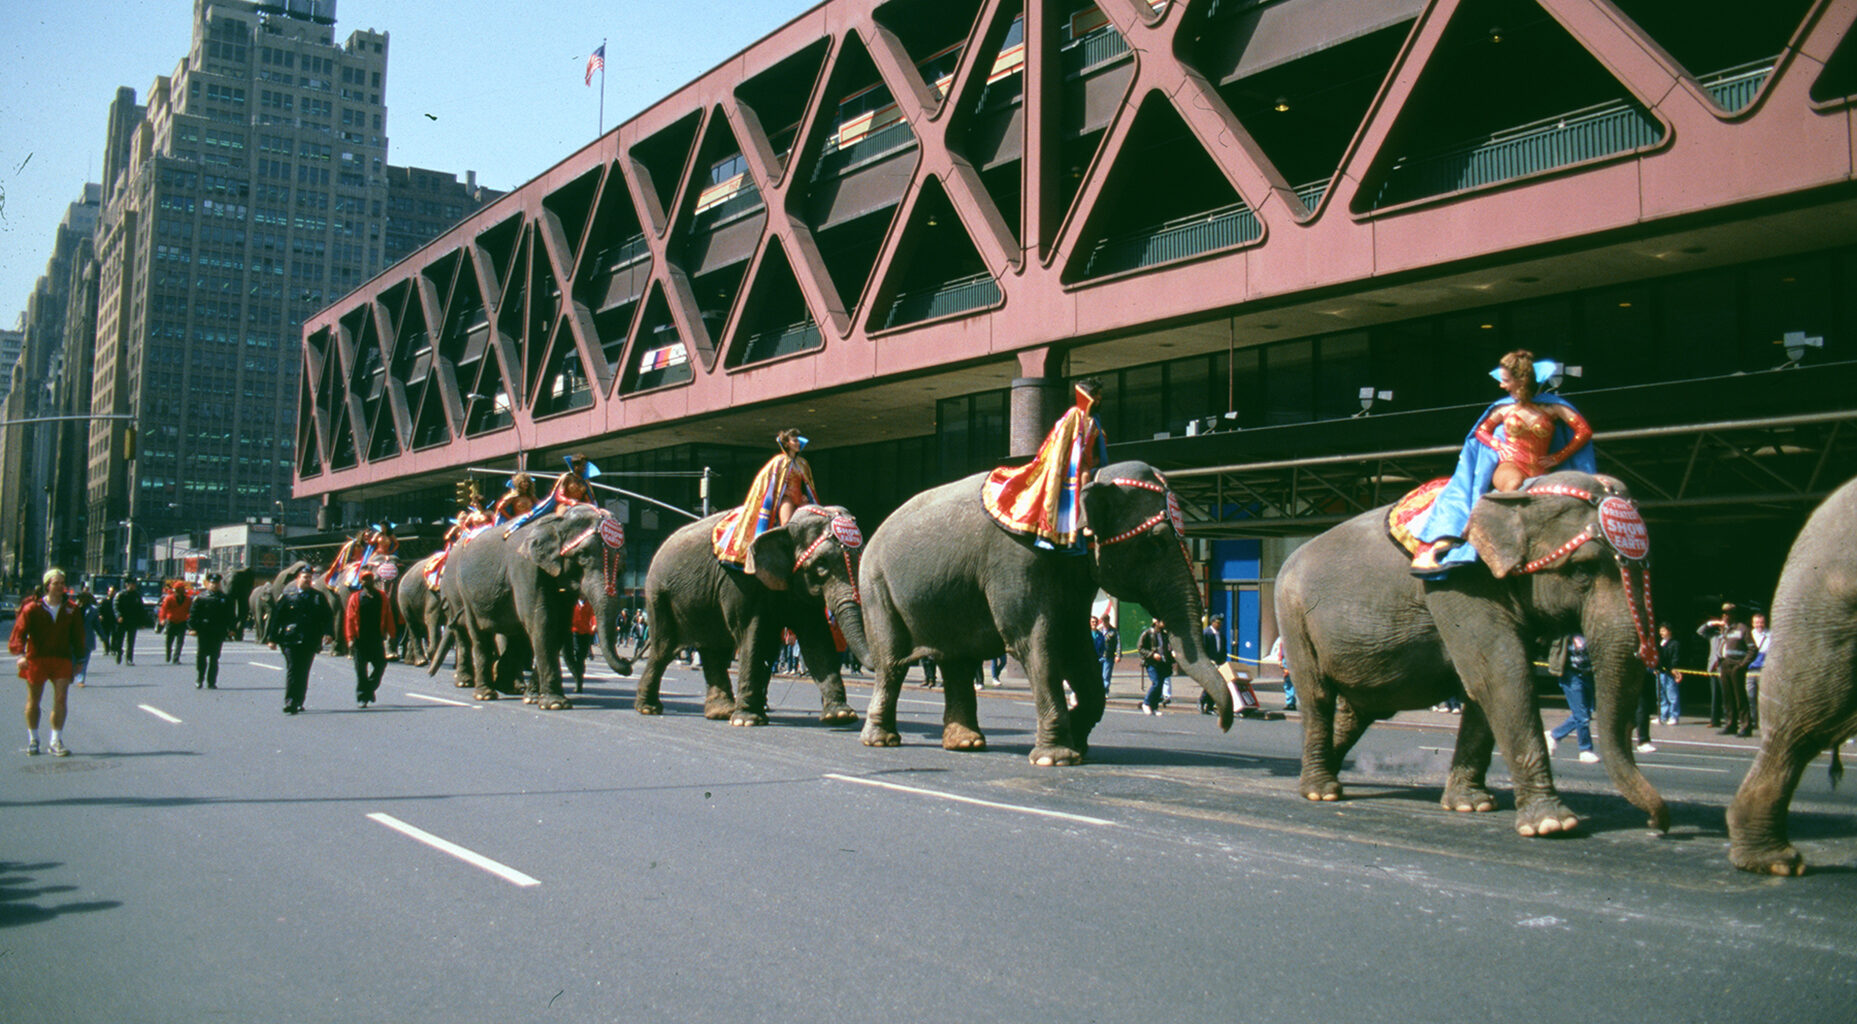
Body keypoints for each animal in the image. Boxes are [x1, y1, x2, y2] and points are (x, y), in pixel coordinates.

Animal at [433, 502, 630, 709]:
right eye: (582, 554)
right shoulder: (525, 567)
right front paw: (556, 704)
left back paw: (508, 687)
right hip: (465, 593)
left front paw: (534, 698)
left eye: (623, 565)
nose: (627, 660)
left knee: (512, 634)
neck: (557, 521)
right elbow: (542, 622)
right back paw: (483, 693)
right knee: (477, 635)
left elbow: (558, 626)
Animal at [632, 503, 866, 726]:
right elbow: (752, 634)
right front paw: (747, 721)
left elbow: (816, 639)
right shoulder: (740, 581)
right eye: (821, 565)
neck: (785, 526)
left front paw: (841, 716)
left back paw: (721, 712)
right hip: (658, 596)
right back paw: (649, 709)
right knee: (664, 648)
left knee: (714, 649)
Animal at [859, 460, 1234, 766]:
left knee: (956, 661)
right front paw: (1056, 758)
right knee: (891, 662)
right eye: (1154, 543)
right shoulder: (1017, 561)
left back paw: (966, 743)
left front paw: (1078, 743)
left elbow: (1077, 645)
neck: (1084, 475)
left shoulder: (1075, 577)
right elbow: (1033, 643)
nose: (1222, 723)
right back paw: (882, 740)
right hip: (876, 588)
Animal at [1274, 469, 1668, 837]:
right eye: (1582, 569)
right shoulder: (1457, 583)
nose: (1657, 824)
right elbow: (1502, 676)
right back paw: (1321, 791)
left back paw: (1324, 774)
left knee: (1360, 710)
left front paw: (1471, 805)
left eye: (1648, 567)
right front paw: (1552, 825)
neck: (1516, 496)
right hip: (1292, 615)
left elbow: (1484, 686)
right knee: (1318, 696)